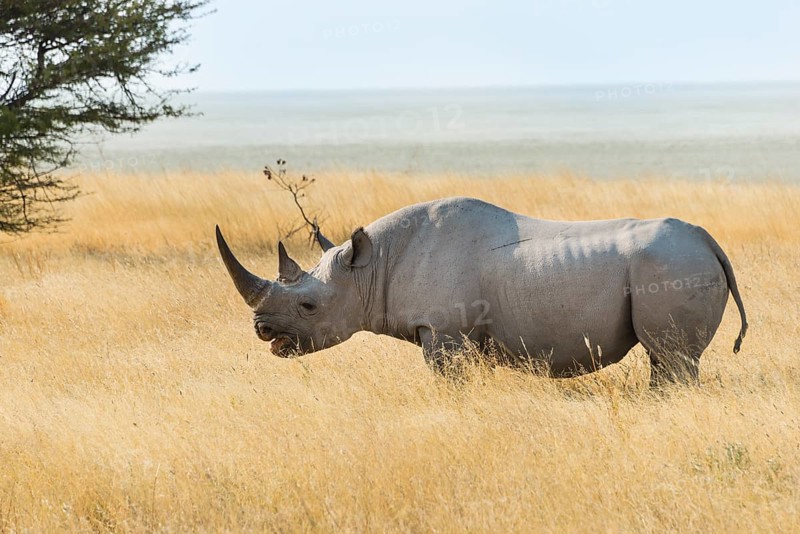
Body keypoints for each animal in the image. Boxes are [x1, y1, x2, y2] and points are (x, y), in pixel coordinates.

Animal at [216, 197, 747, 386]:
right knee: (669, 359)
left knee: (673, 358)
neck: (371, 268)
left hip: (673, 264)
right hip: (679, 260)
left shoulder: (445, 333)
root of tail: (709, 241)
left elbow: (448, 383)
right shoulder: (459, 334)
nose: (262, 331)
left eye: (308, 305)